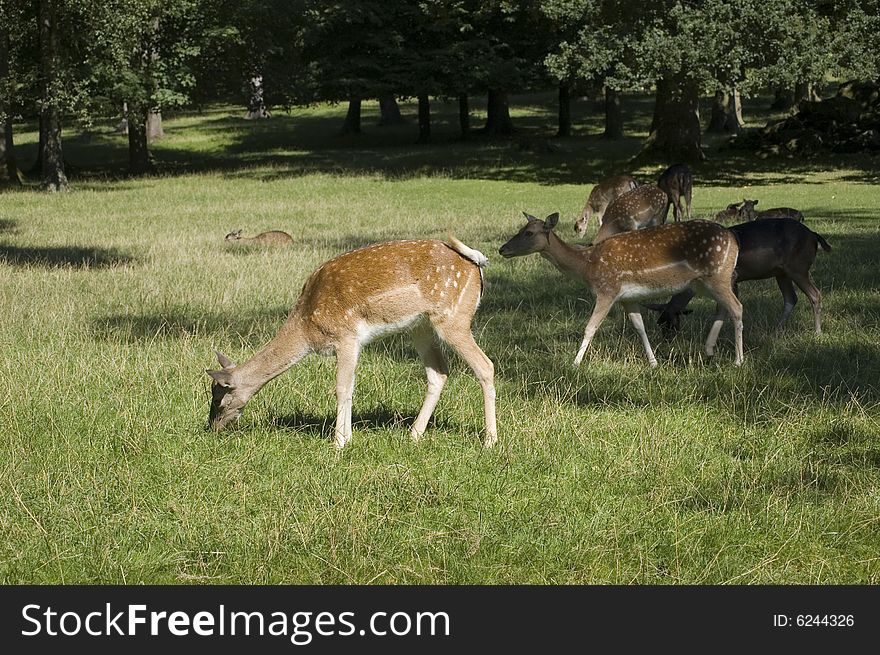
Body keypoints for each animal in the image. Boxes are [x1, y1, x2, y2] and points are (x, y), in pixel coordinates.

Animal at [205, 238, 496, 448]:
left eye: (219, 400)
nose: (212, 428)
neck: (306, 326)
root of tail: (477, 265)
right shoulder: (352, 344)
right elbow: (351, 387)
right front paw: (347, 437)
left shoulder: (345, 336)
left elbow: (341, 388)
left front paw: (338, 443)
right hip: (421, 327)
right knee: (439, 372)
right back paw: (413, 434)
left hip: (453, 319)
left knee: (486, 366)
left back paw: (490, 441)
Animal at [502, 215, 744, 368]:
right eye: (520, 229)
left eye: (529, 232)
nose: (502, 249)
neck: (586, 265)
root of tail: (734, 241)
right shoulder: (628, 297)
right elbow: (640, 327)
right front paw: (654, 363)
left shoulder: (607, 290)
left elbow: (590, 328)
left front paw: (574, 364)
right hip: (705, 283)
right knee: (724, 308)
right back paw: (710, 350)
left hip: (717, 276)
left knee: (737, 308)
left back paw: (738, 361)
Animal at [644, 219, 828, 336]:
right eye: (660, 322)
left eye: (671, 323)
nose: (667, 340)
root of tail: (814, 235)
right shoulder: (734, 281)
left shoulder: (731, 277)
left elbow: (722, 308)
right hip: (781, 272)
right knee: (791, 298)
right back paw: (776, 330)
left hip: (798, 267)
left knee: (815, 294)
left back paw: (817, 332)